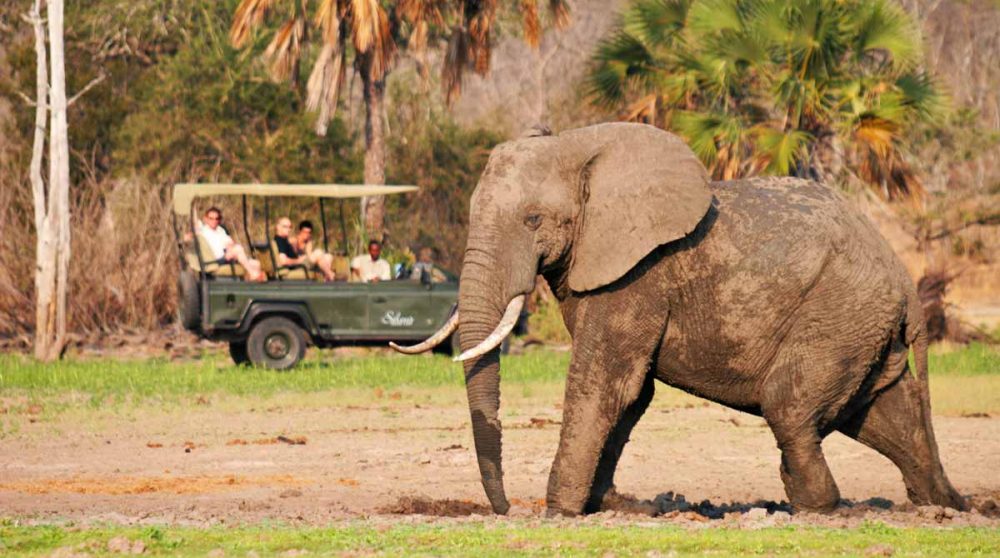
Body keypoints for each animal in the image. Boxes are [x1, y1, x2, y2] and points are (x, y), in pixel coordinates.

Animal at [392, 122, 965, 517]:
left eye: (533, 220)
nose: (507, 508)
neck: (580, 148)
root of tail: (904, 279)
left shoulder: (640, 274)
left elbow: (604, 384)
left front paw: (559, 511)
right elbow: (631, 393)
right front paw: (610, 507)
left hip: (838, 312)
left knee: (791, 405)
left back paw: (818, 508)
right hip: (862, 325)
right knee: (884, 410)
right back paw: (946, 505)